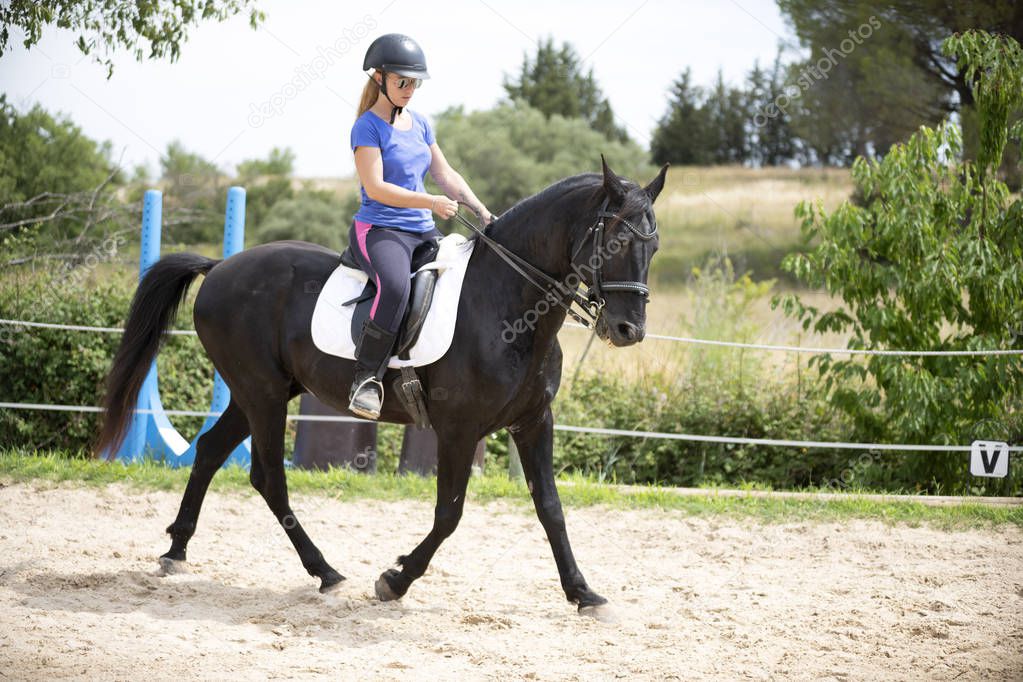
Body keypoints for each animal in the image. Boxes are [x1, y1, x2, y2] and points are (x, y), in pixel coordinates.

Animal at [94, 157, 671, 617]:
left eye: (655, 245)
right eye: (617, 239)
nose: (629, 330)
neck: (508, 305)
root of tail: (220, 267)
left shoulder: (533, 423)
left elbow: (551, 508)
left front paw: (583, 593)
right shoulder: (458, 430)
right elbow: (449, 514)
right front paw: (395, 580)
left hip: (261, 392)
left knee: (212, 450)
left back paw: (177, 551)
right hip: (262, 394)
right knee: (267, 477)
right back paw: (324, 571)